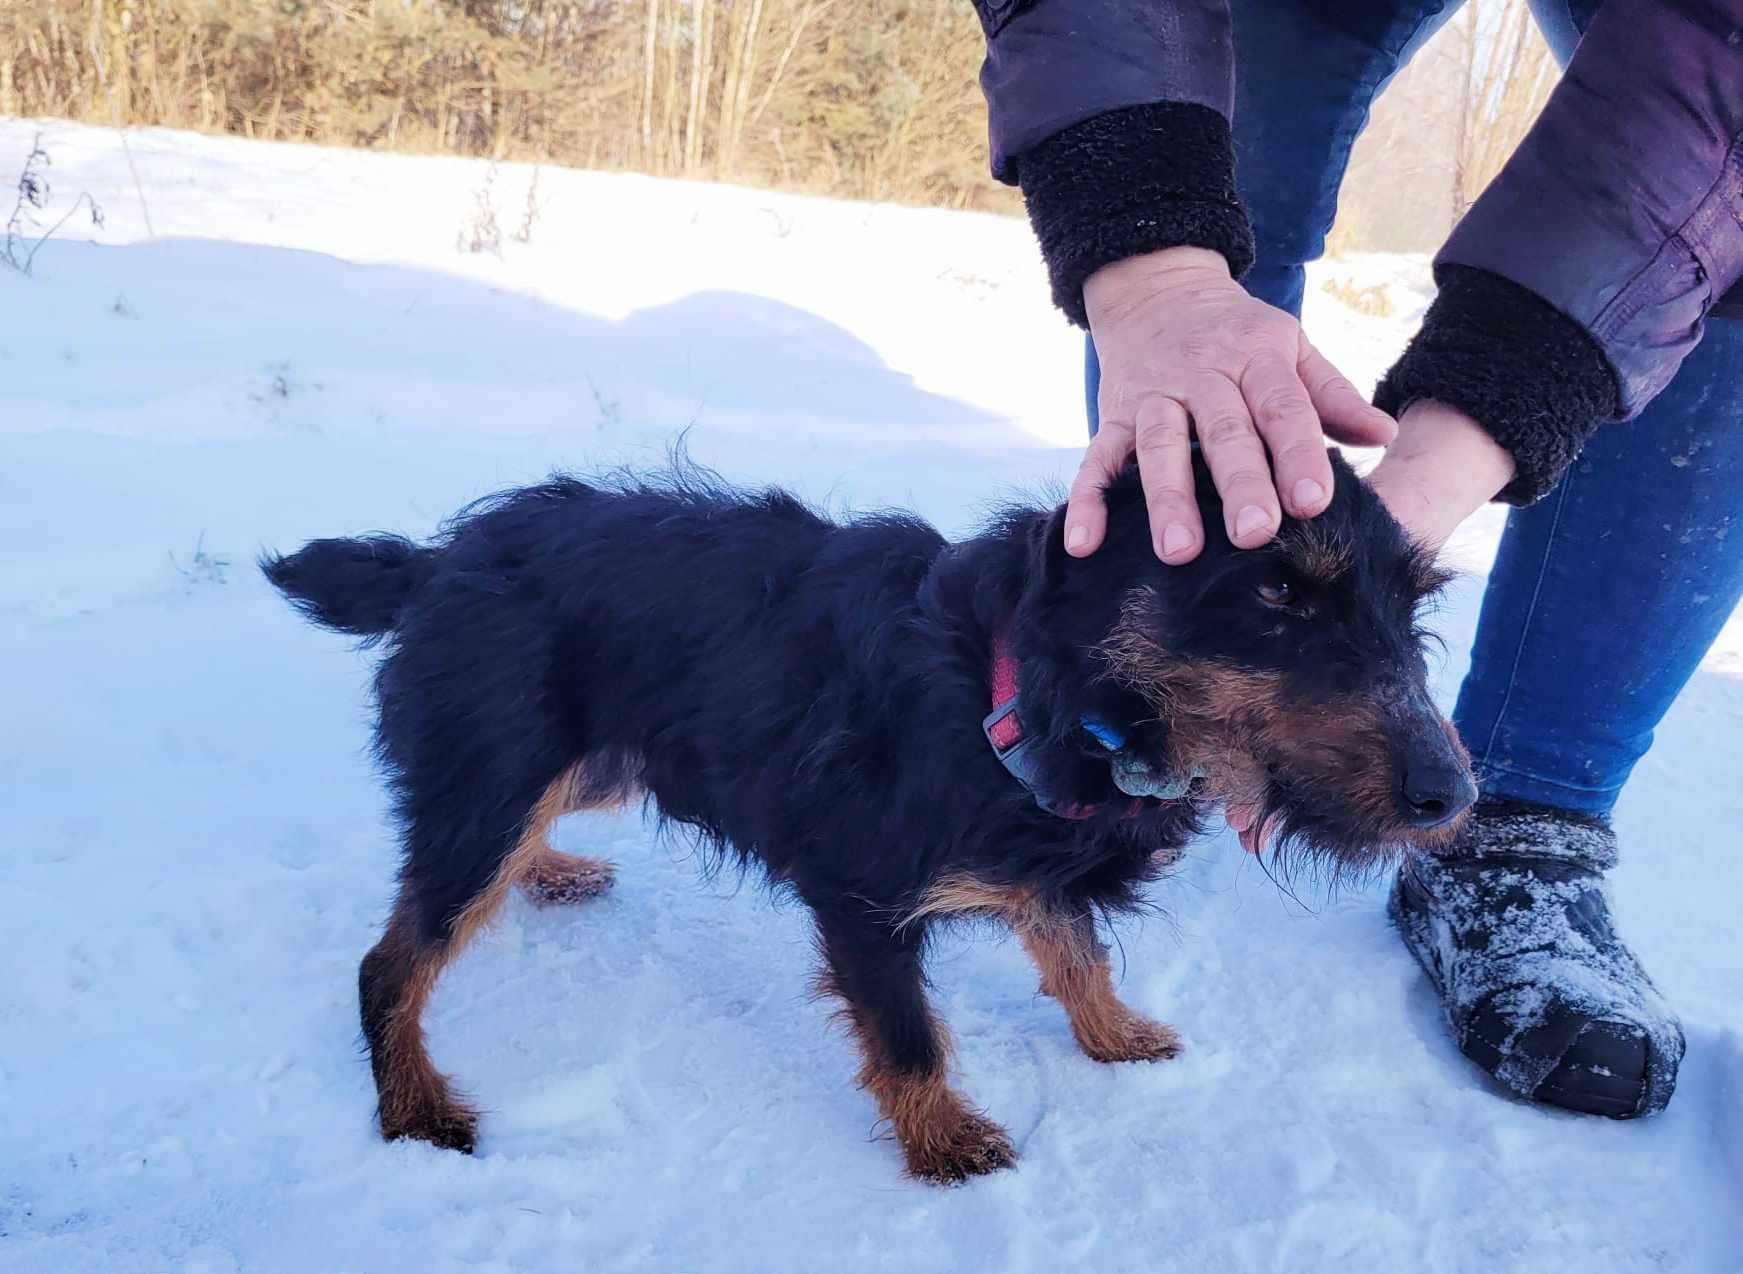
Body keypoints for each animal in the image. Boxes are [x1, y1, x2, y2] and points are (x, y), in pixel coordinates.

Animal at [264, 449, 1478, 1185]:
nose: (1452, 798)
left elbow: (1075, 947)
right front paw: (944, 1141)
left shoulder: (1034, 856)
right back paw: (413, 1105)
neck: (1014, 688)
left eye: (1411, 601)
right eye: (1276, 589)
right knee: (391, 960)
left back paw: (553, 868)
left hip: (583, 764)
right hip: (488, 790)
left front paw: (1114, 1033)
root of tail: (441, 561)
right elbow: (907, 1033)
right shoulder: (859, 896)